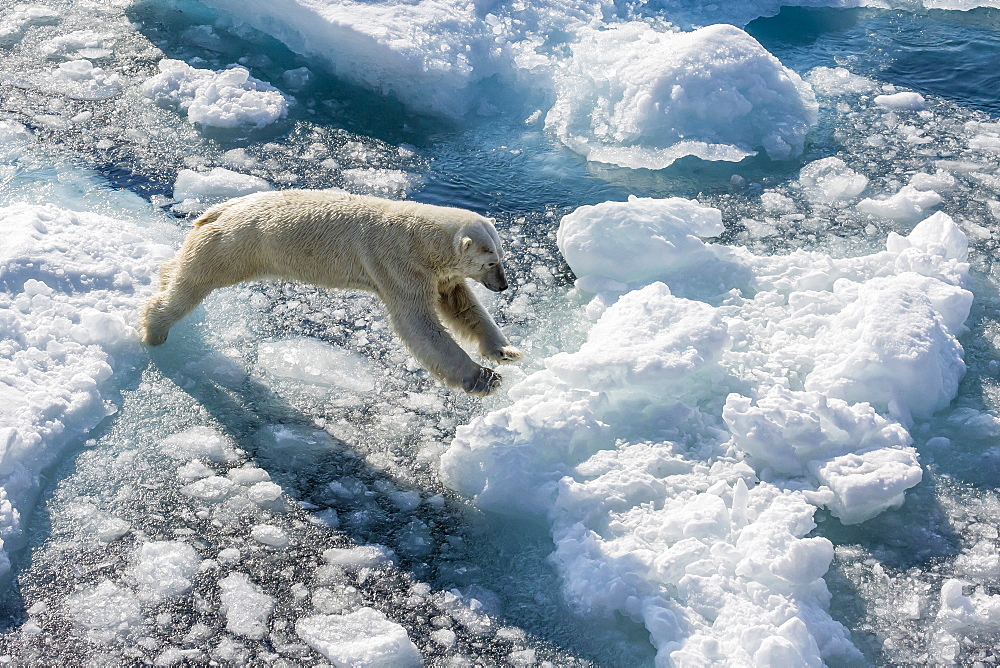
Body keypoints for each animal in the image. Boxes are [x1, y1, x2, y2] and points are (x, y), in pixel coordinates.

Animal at [141, 188, 524, 394]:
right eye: (490, 263)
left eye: (502, 259)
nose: (503, 285)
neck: (420, 237)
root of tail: (215, 210)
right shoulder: (399, 266)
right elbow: (420, 326)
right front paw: (484, 379)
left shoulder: (436, 274)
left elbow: (461, 305)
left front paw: (506, 352)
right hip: (234, 246)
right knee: (193, 283)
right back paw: (153, 329)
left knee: (178, 270)